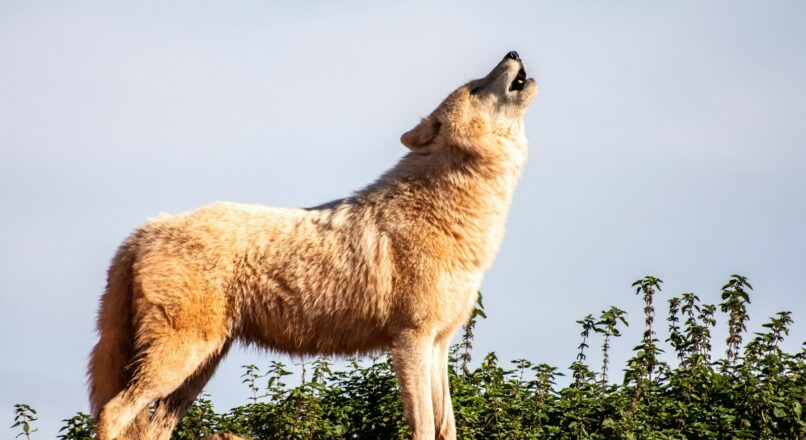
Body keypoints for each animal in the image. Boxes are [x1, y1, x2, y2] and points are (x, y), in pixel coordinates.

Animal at [90, 49, 536, 438]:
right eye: (476, 88)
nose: (513, 51)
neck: (448, 210)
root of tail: (144, 230)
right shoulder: (411, 338)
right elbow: (424, 426)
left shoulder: (439, 344)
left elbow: (447, 426)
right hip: (180, 358)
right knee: (114, 411)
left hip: (197, 368)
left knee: (150, 426)